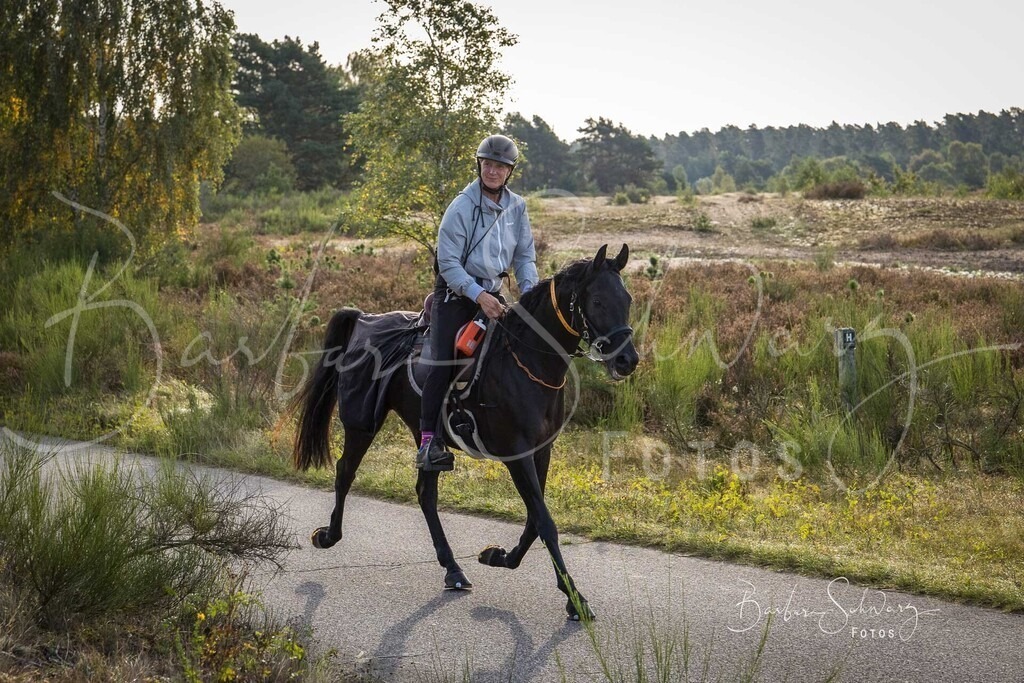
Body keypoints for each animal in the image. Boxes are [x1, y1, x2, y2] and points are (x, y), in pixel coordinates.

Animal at [290, 244, 639, 620]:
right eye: (598, 301)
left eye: (627, 299)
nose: (627, 361)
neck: (527, 361)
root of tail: (364, 319)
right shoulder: (516, 454)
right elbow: (545, 522)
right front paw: (575, 599)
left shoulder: (541, 450)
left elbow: (535, 519)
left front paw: (498, 556)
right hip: (362, 422)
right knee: (345, 472)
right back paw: (328, 535)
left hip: (424, 435)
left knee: (425, 493)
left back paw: (453, 569)